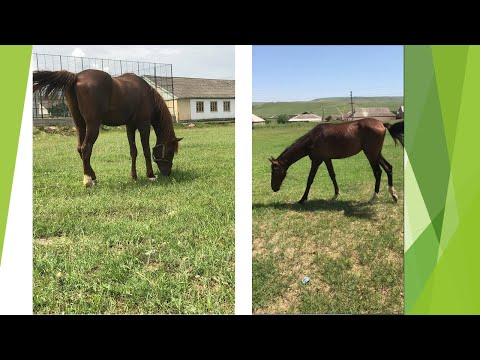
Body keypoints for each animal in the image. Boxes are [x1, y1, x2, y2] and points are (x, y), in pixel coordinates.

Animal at [31, 70, 182, 188]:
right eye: (170, 152)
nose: (167, 173)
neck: (147, 94)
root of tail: (76, 76)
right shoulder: (143, 125)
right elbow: (145, 150)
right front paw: (150, 175)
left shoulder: (130, 126)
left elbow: (133, 151)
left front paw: (134, 176)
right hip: (93, 125)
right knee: (86, 148)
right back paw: (88, 181)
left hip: (80, 123)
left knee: (80, 148)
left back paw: (93, 177)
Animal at [270, 117, 404, 204]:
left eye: (274, 170)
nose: (274, 188)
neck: (313, 139)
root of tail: (381, 123)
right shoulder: (327, 159)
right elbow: (332, 175)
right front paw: (336, 194)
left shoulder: (316, 161)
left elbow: (310, 179)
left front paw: (303, 199)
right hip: (376, 154)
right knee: (388, 168)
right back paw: (393, 195)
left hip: (370, 154)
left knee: (378, 172)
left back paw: (374, 197)